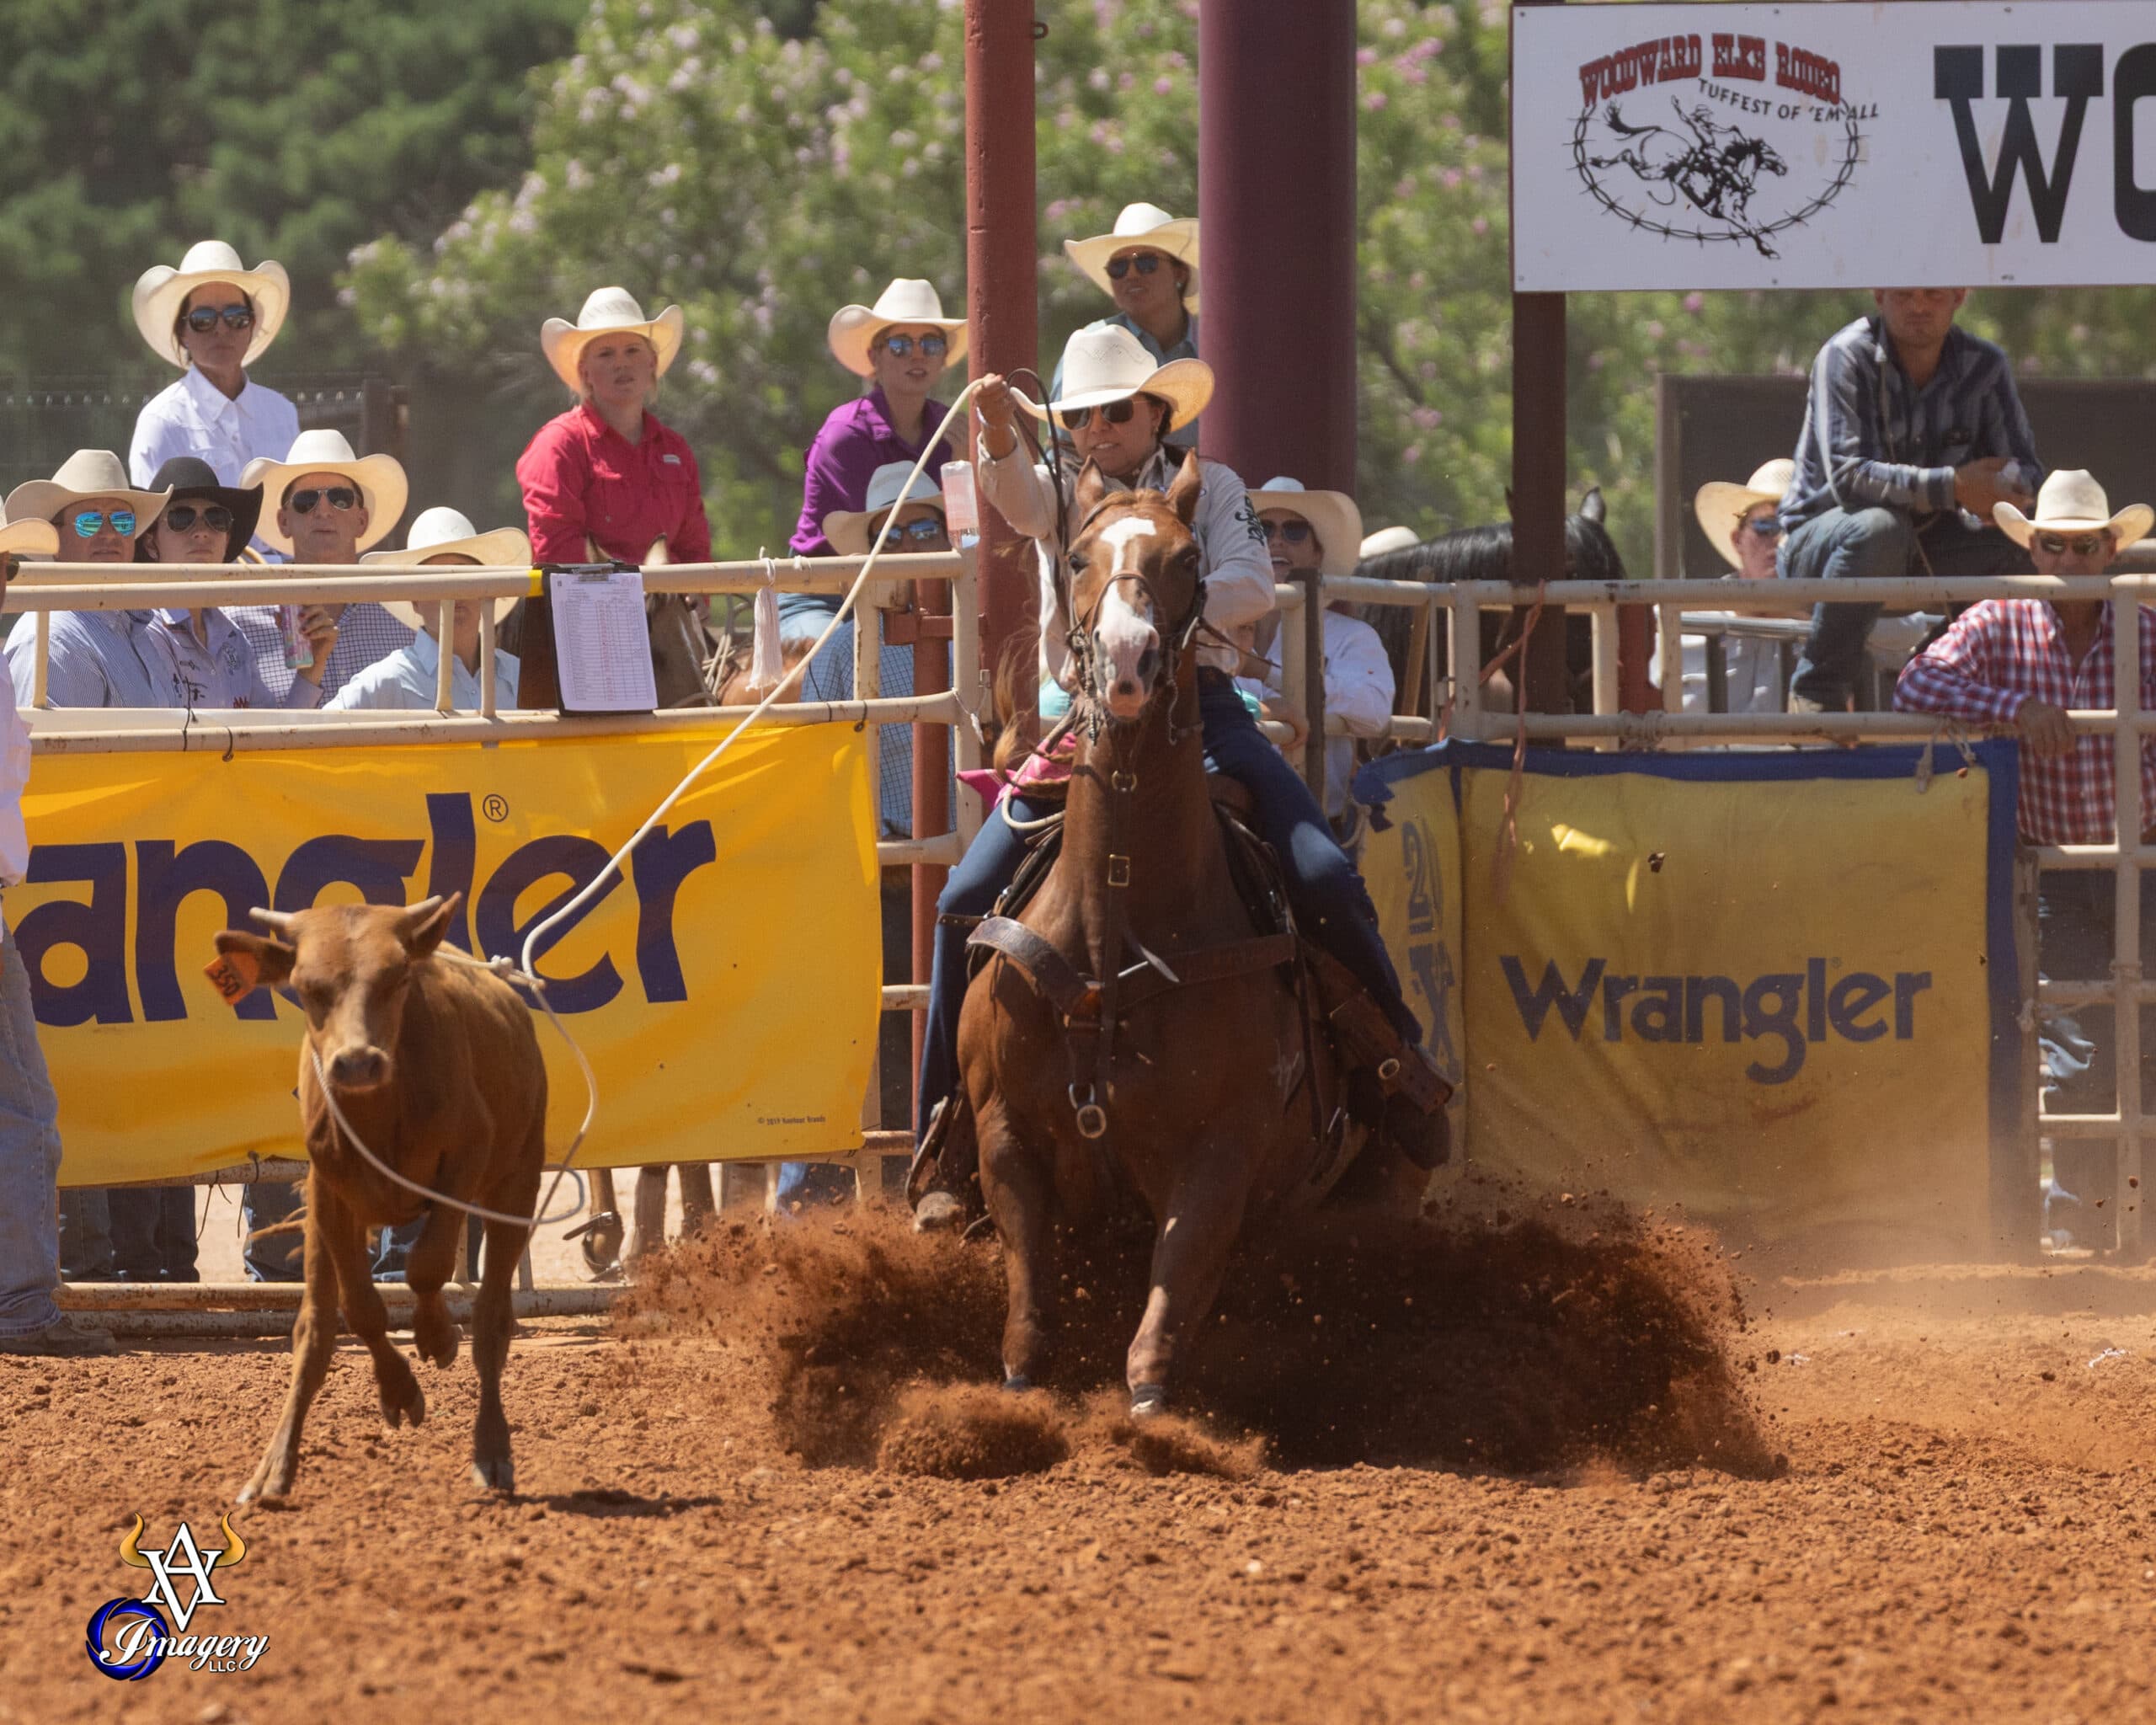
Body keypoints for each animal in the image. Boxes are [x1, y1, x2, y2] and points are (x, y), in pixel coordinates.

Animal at [208, 892, 547, 1502]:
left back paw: (491, 1453)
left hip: (516, 1186)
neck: (384, 1108)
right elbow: (360, 1310)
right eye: (306, 987)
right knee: (314, 1332)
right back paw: (275, 1468)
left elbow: (428, 1267)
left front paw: (437, 1337)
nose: (358, 1061)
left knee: (491, 1322)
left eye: (398, 976)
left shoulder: (465, 1167)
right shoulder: (329, 1196)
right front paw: (399, 1391)